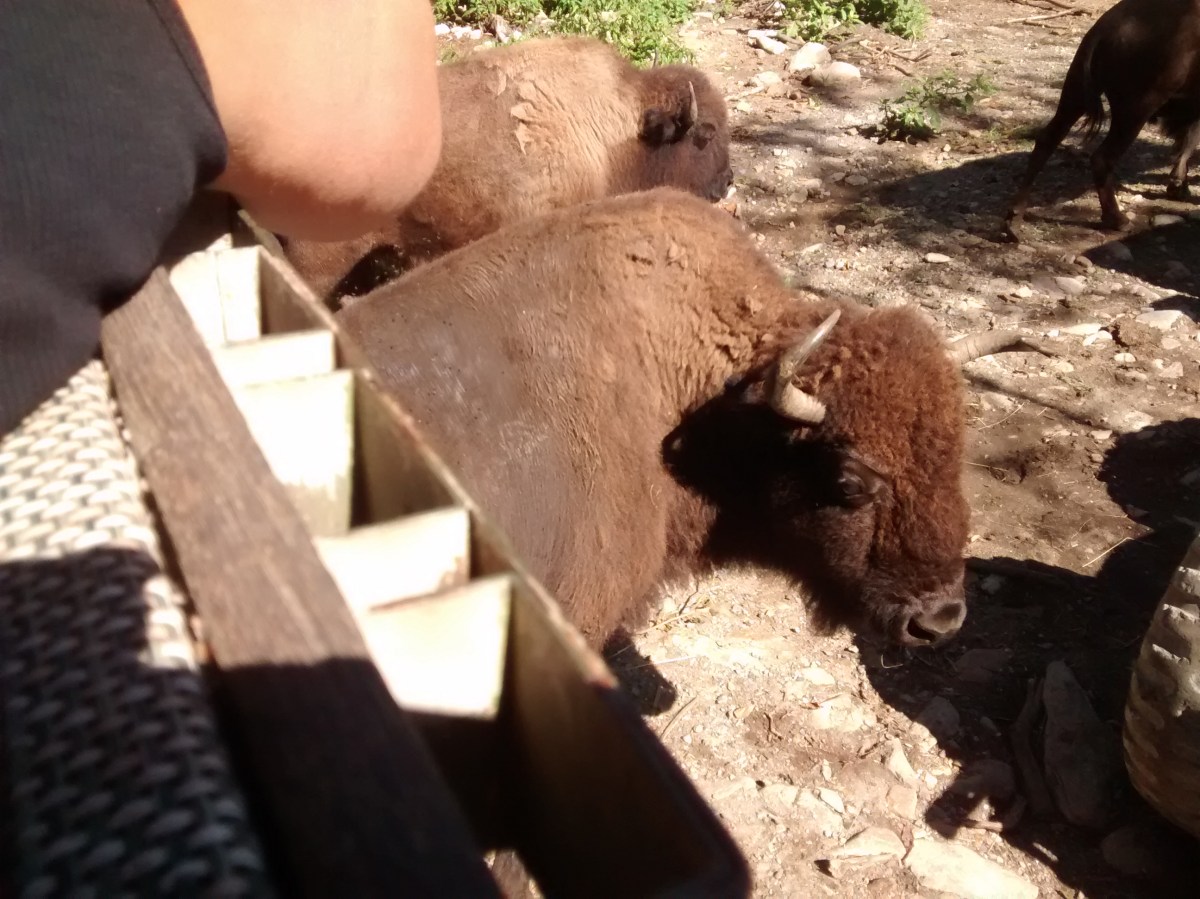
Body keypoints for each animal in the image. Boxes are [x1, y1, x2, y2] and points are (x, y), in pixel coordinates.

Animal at [1007, 0, 1200, 237]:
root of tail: (1104, 29)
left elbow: (1187, 143)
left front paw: (1178, 186)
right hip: (1135, 111)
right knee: (1102, 157)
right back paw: (1118, 220)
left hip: (1075, 95)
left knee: (1047, 140)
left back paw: (1013, 222)